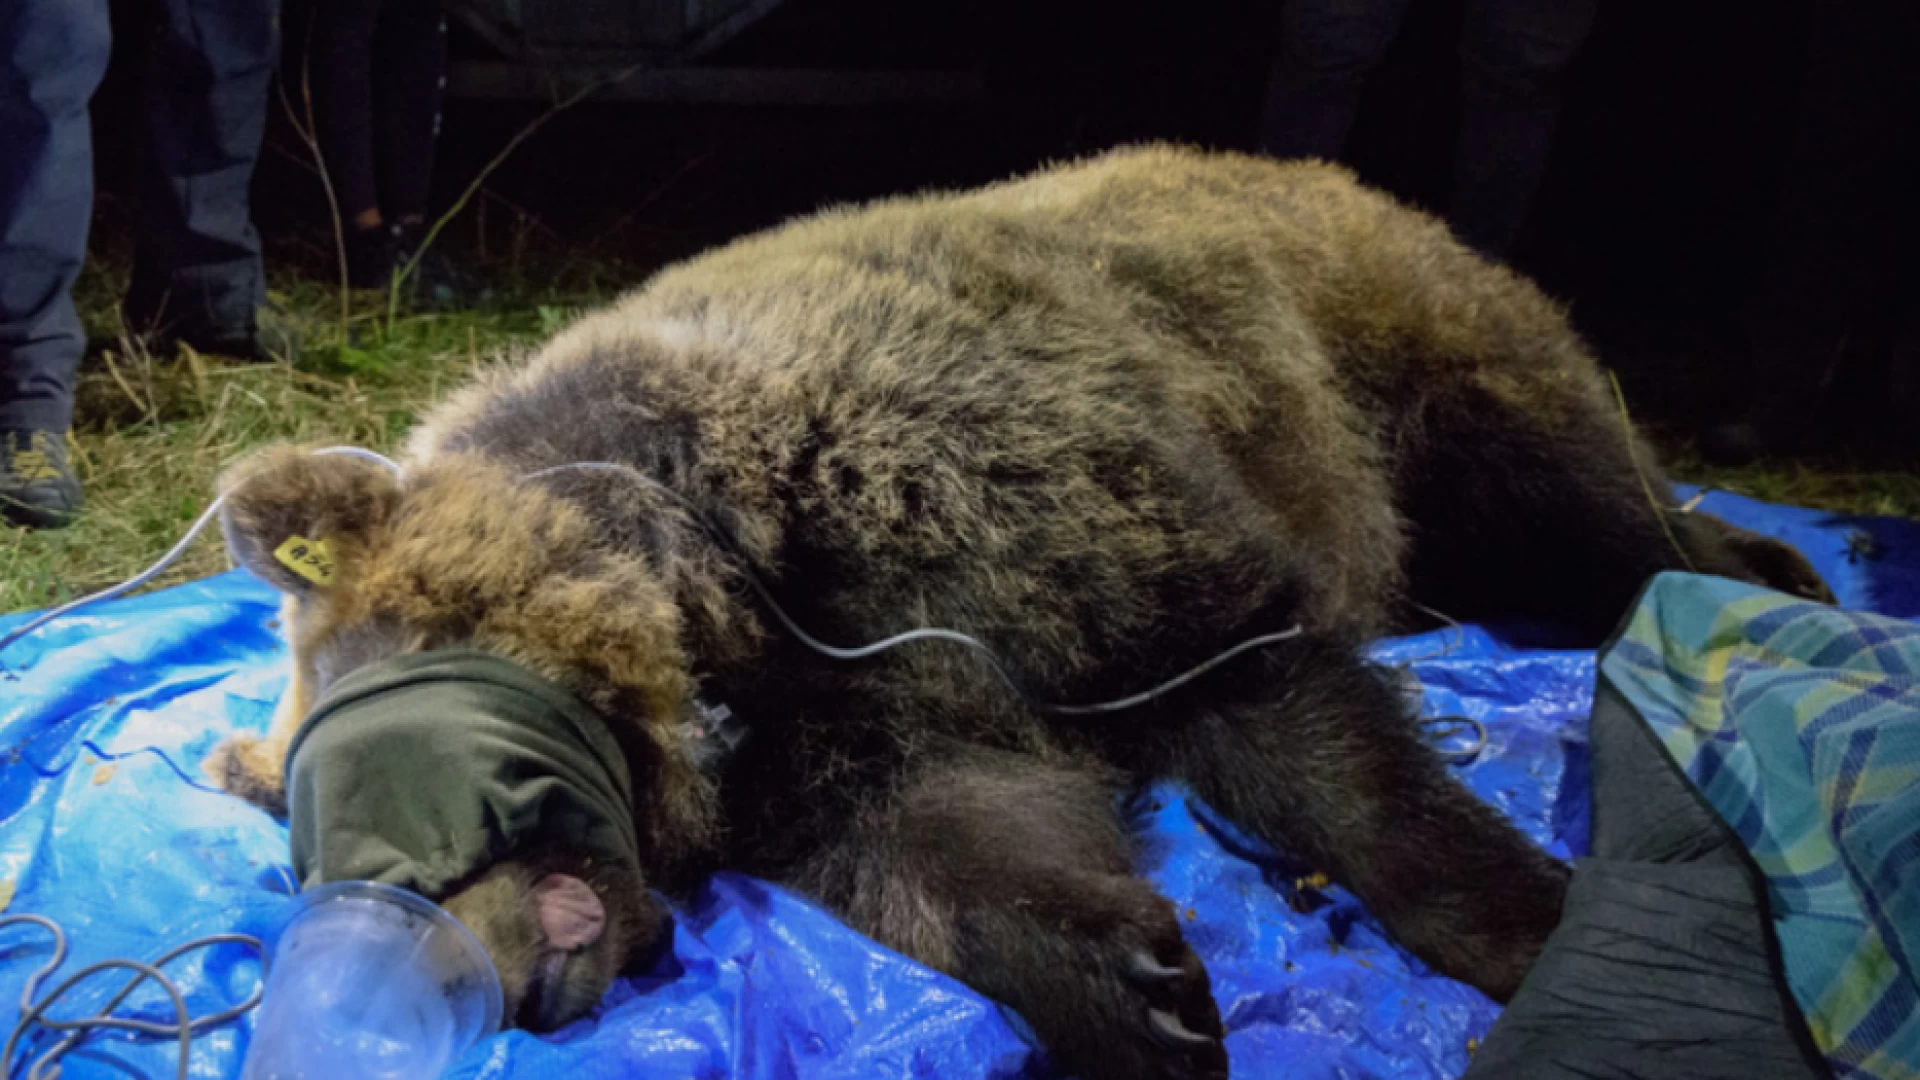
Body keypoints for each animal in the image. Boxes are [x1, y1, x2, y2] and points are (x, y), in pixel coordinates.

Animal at [210, 143, 1827, 1076]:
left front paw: (1539, 933)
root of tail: (1320, 167)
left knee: (1581, 509)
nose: (495, 977)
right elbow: (968, 845)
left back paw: (1771, 568)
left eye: (381, 734)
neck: (730, 586)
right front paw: (1147, 983)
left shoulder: (1030, 514)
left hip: (1415, 366)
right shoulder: (867, 719)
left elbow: (1296, 717)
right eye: (300, 836)